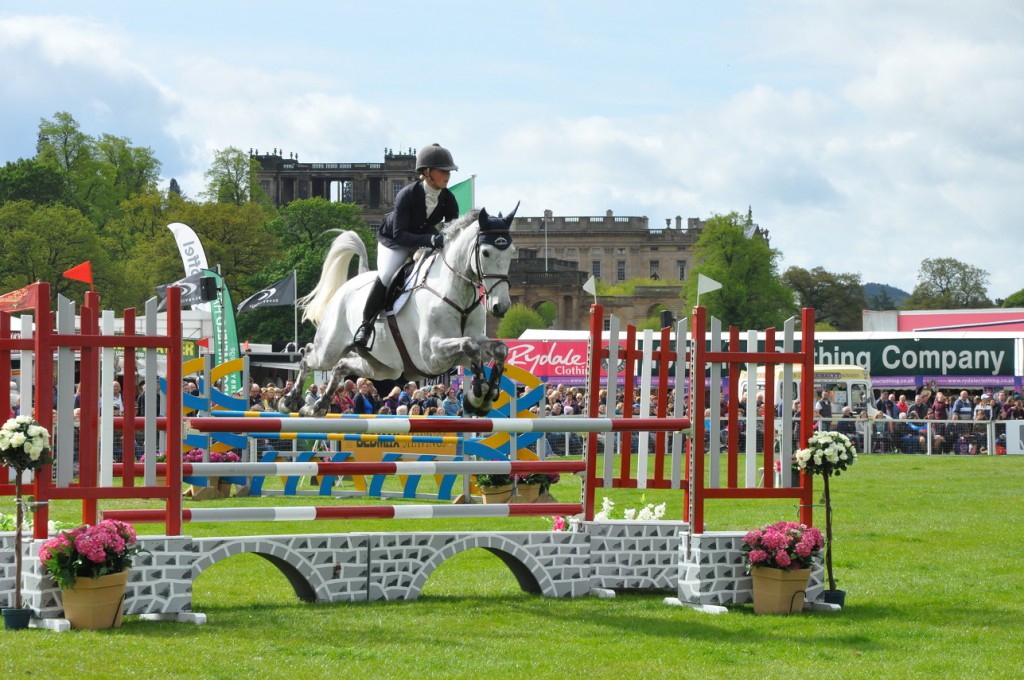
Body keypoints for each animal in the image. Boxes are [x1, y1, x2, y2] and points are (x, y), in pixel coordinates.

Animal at [278, 206, 516, 417]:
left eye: (511, 253)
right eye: (485, 252)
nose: (501, 306)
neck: (457, 294)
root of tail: (352, 282)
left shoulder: (466, 348)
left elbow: (497, 348)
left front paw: (487, 395)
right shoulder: (431, 355)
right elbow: (469, 344)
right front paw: (478, 392)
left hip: (381, 367)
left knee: (341, 366)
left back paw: (318, 406)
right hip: (330, 348)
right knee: (308, 355)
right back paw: (288, 400)